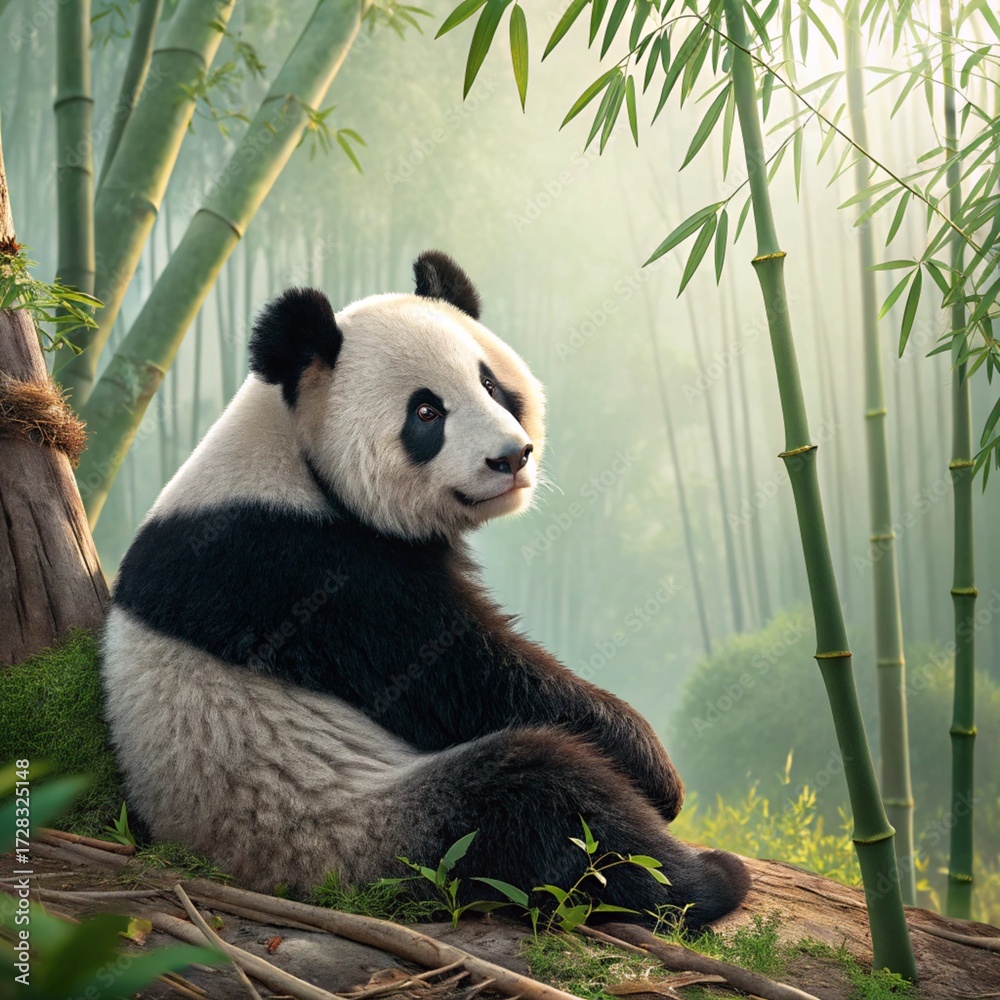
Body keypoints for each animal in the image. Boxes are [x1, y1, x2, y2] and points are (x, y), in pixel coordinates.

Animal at [101, 250, 749, 928]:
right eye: (426, 413)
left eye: (491, 386)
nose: (511, 457)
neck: (294, 455)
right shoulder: (299, 570)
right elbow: (467, 673)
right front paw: (656, 770)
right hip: (357, 829)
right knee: (542, 802)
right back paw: (705, 878)